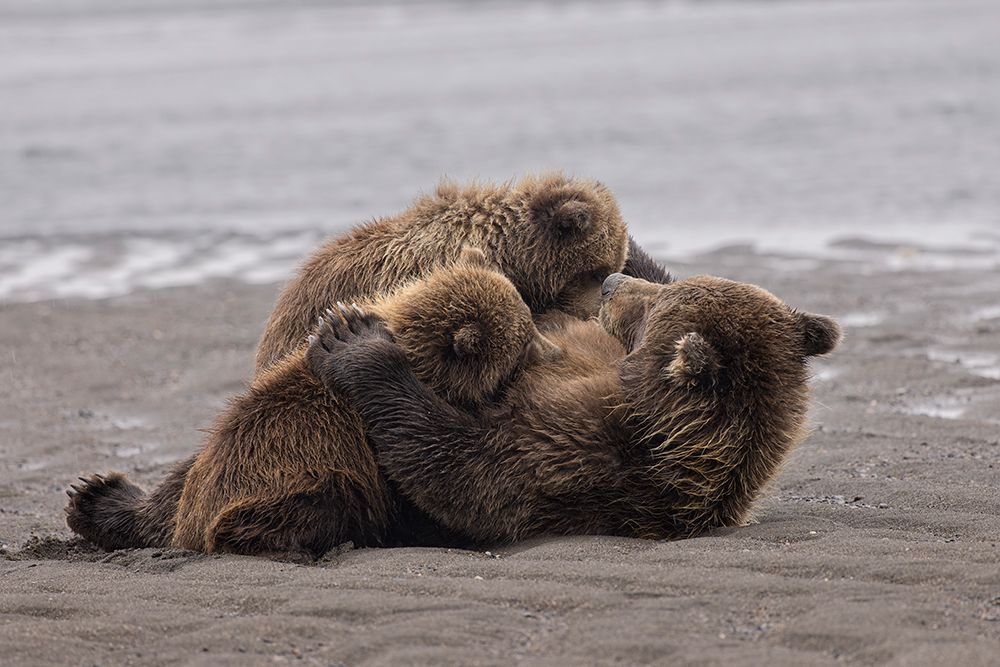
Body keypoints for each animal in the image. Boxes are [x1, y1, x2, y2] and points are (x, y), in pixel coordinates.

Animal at [66, 248, 557, 559]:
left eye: (528, 319)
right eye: (524, 341)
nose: (553, 350)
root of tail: (190, 528)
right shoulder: (372, 449)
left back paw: (94, 499)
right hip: (296, 484)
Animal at [304, 272, 842, 543]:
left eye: (655, 304)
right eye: (669, 285)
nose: (611, 281)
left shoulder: (584, 455)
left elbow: (460, 467)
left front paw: (353, 339)